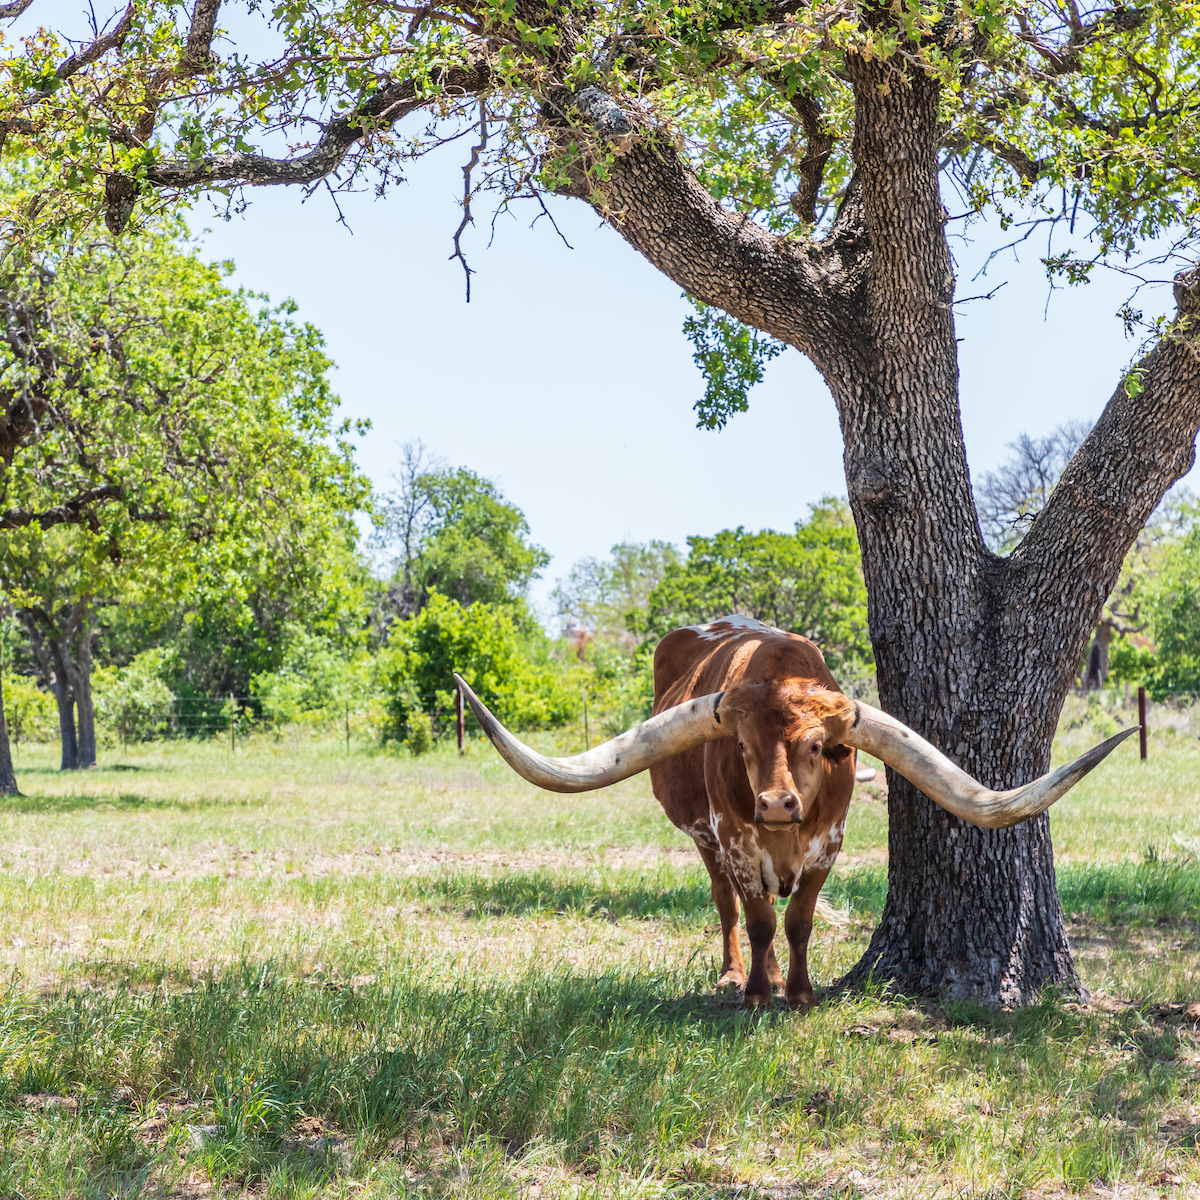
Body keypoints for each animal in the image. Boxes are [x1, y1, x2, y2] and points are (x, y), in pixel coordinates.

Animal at [451, 614, 1132, 1008]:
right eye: (743, 748)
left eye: (814, 747)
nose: (777, 803)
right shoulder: (734, 838)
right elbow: (757, 920)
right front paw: (758, 992)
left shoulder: (828, 843)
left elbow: (799, 920)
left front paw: (800, 993)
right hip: (704, 840)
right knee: (726, 904)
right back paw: (737, 975)